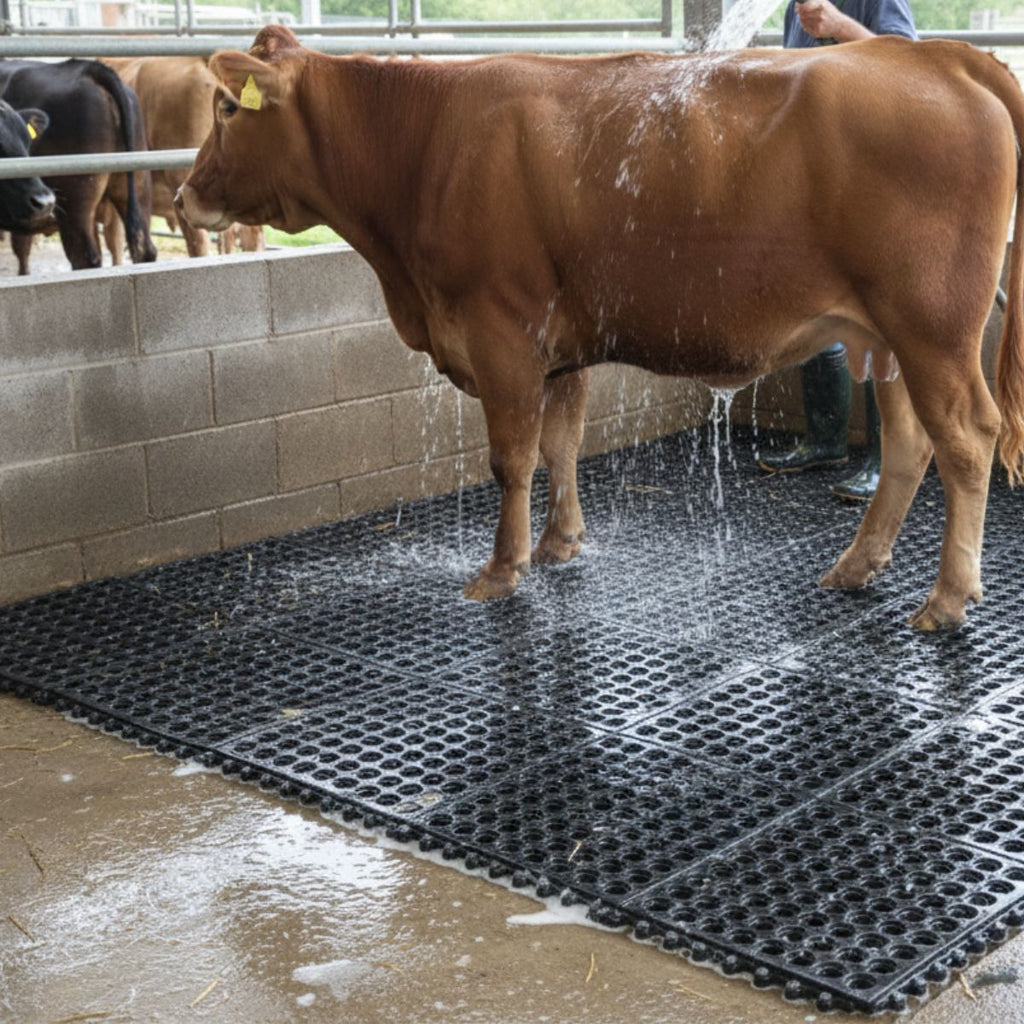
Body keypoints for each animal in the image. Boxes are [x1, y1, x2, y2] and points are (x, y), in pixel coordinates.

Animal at [176, 25, 1024, 630]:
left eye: (227, 108)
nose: (184, 196)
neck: (424, 145)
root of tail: (940, 57)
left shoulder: (501, 330)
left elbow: (512, 459)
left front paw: (502, 568)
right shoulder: (561, 345)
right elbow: (563, 443)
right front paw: (560, 544)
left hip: (934, 327)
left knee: (968, 440)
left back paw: (948, 599)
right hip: (889, 336)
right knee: (912, 441)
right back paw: (858, 566)